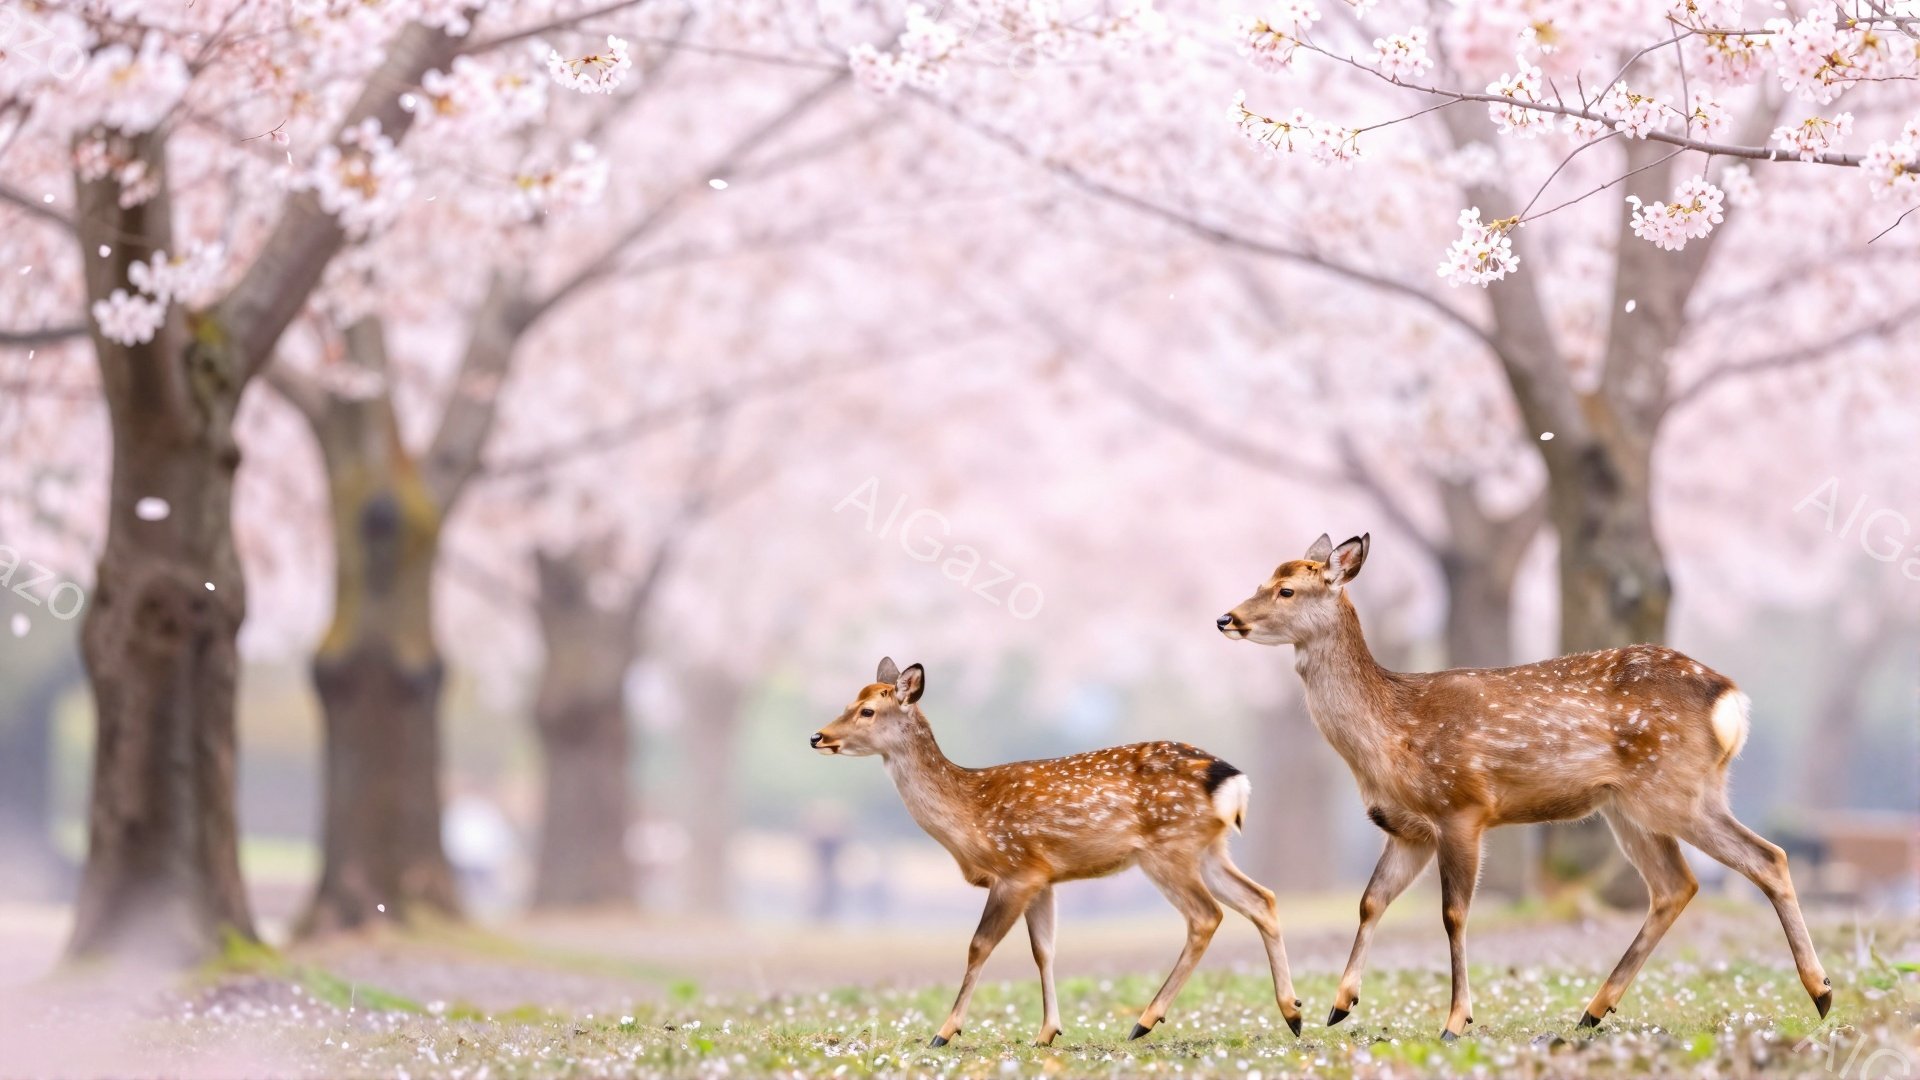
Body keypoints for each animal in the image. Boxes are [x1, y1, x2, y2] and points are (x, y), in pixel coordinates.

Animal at [812, 657, 1305, 1047]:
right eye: (849, 702)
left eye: (867, 710)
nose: (817, 736)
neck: (969, 816)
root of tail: (1229, 779)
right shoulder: (1044, 878)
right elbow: (1044, 950)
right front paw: (1047, 1032)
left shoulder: (1016, 870)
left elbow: (978, 946)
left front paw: (945, 1031)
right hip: (1209, 848)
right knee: (1261, 898)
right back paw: (1293, 1012)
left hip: (1168, 849)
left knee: (1206, 916)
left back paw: (1145, 1021)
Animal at [1217, 534, 1832, 1041]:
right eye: (1261, 580)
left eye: (1287, 589)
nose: (1227, 618)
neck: (1391, 735)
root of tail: (1730, 699)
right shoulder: (1409, 829)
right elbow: (1371, 900)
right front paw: (1339, 1004)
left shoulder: (1462, 806)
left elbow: (1453, 914)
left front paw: (1455, 1021)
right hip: (1630, 807)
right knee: (1675, 885)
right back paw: (1593, 1010)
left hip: (1677, 789)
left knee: (1767, 856)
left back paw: (1822, 992)